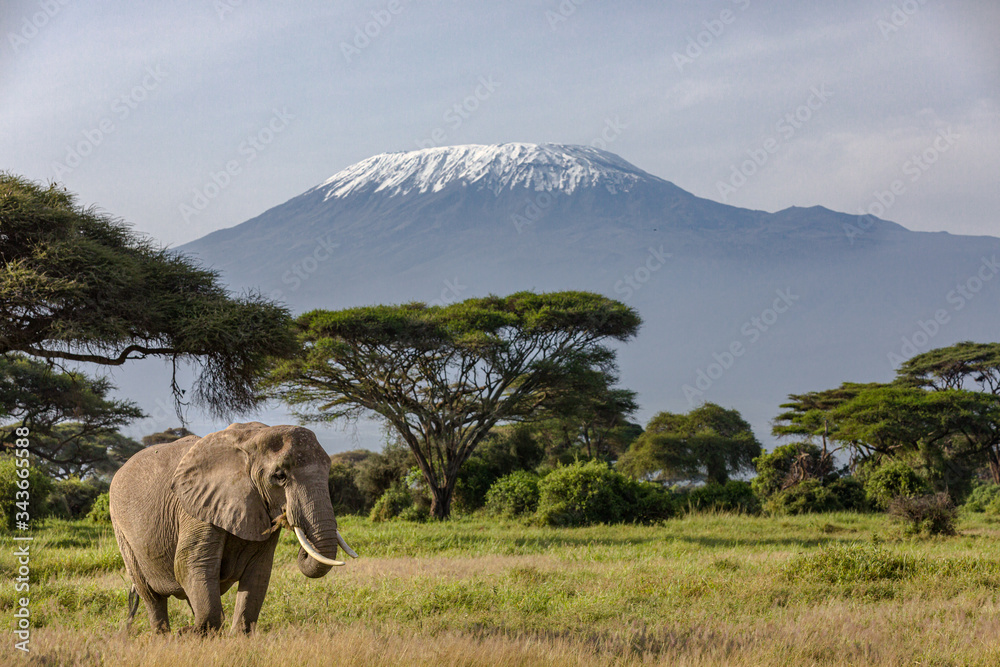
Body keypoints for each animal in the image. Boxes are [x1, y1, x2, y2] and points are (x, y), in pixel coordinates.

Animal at [108, 422, 356, 636]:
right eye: (279, 476)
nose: (290, 518)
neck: (249, 442)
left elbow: (259, 570)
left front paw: (237, 637)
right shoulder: (196, 508)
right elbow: (191, 564)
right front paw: (189, 634)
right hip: (120, 528)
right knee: (151, 595)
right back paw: (166, 637)